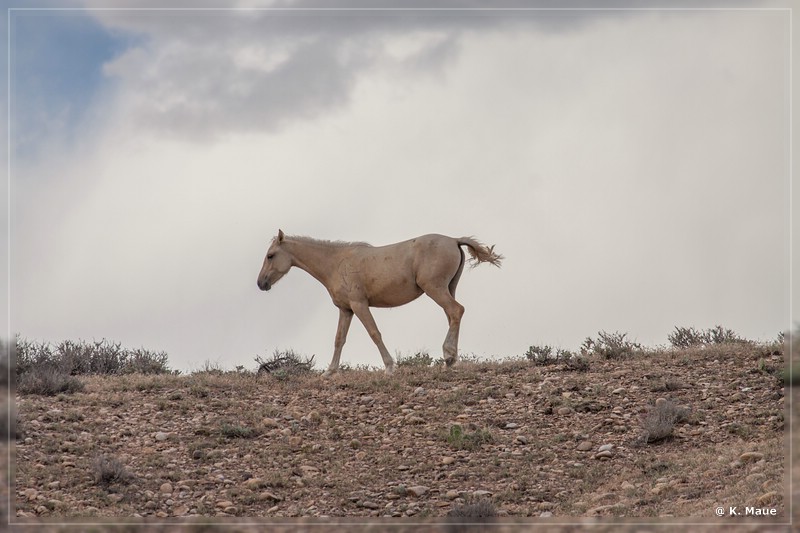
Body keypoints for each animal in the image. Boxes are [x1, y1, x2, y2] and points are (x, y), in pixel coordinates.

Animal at [256, 230, 504, 374]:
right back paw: (452, 358)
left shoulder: (359, 305)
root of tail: (453, 240)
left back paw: (449, 356)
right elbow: (339, 339)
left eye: (270, 255)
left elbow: (374, 333)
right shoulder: (346, 310)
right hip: (447, 288)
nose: (261, 283)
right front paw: (330, 372)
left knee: (456, 311)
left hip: (435, 289)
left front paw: (390, 367)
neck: (336, 263)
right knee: (453, 315)